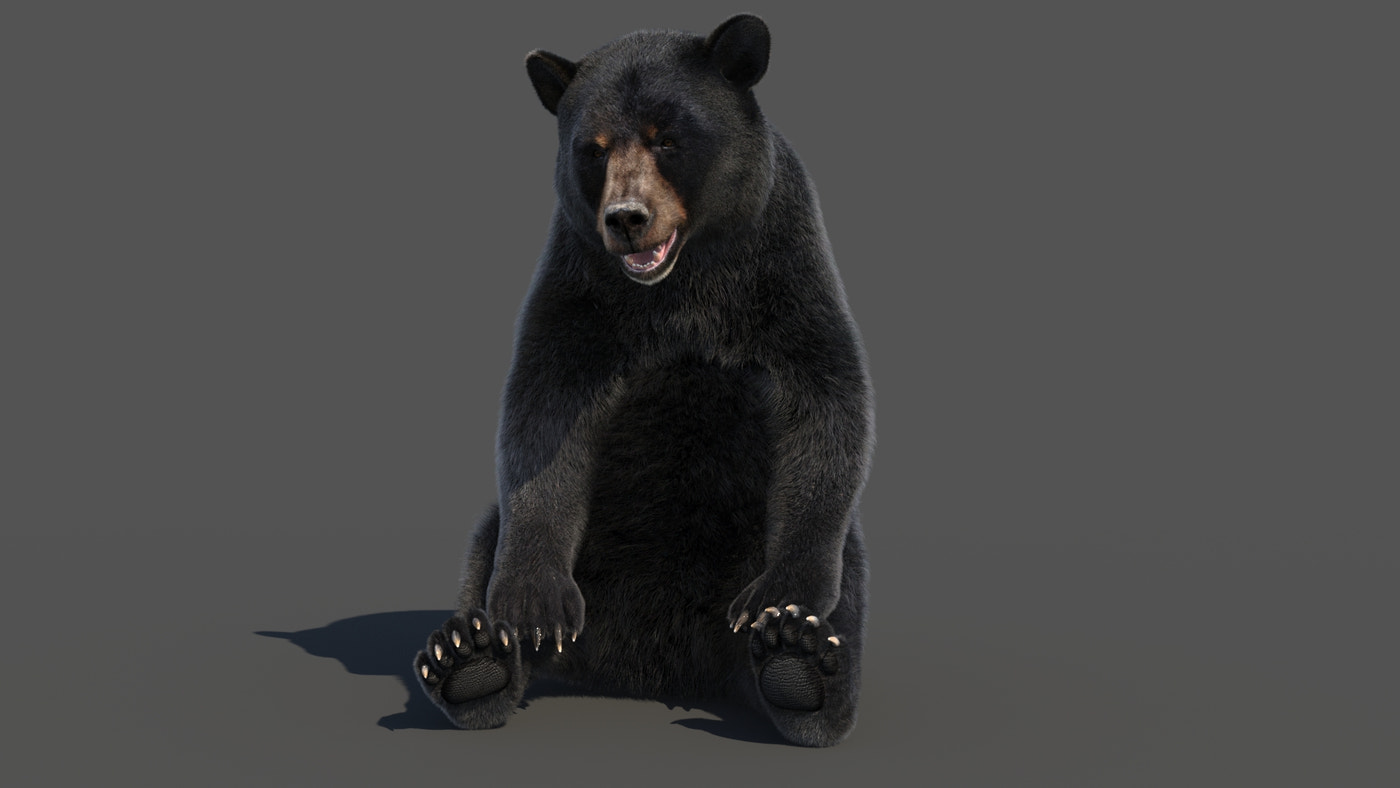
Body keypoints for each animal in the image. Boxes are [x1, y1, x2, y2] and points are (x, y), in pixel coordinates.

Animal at [413, 14, 873, 748]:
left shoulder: (781, 272)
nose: (626, 218)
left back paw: (798, 667)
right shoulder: (582, 290)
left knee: (844, 581)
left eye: (668, 138)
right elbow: (544, 416)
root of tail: (648, 669)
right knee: (487, 544)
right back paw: (472, 657)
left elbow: (823, 399)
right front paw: (535, 604)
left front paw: (781, 601)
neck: (678, 286)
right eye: (593, 150)